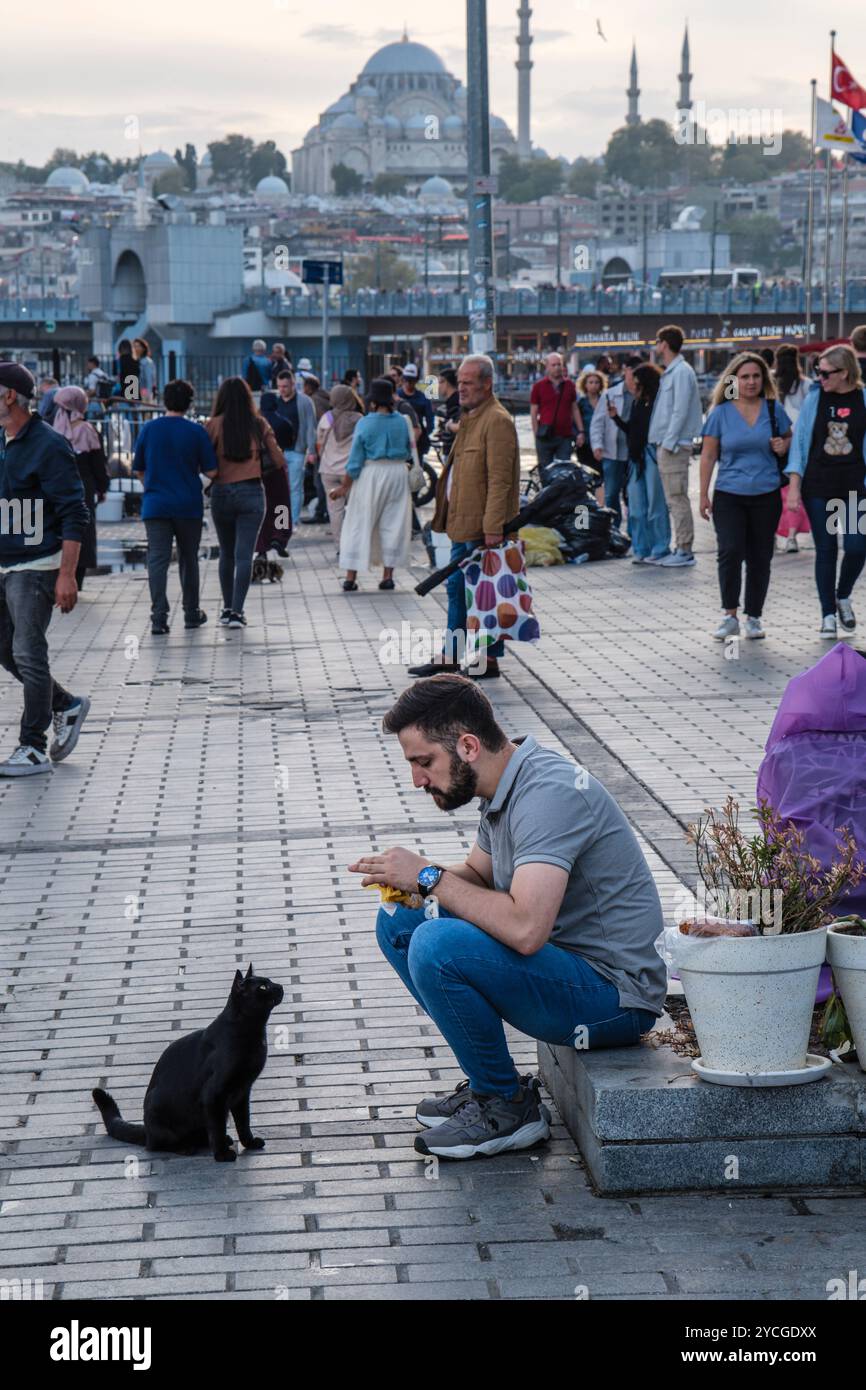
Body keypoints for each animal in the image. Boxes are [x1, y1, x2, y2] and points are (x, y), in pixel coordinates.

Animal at [94, 967, 284, 1162]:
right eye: (263, 987)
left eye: (270, 981)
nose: (280, 986)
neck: (254, 1033)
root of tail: (146, 1130)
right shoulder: (213, 1096)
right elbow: (217, 1127)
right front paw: (222, 1155)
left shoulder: (242, 1092)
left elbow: (244, 1123)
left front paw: (249, 1143)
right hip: (160, 1110)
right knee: (157, 1145)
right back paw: (186, 1147)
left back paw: (222, 1139)